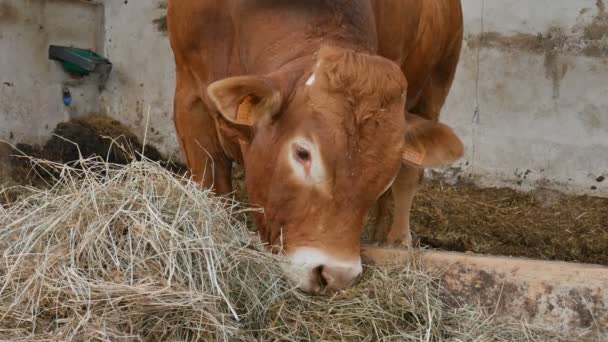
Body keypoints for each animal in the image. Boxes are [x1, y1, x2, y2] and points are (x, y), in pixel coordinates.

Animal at [169, 0, 464, 294]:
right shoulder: (189, 95)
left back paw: (397, 242)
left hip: (436, 84)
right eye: (302, 153)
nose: (337, 275)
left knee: (408, 179)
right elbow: (208, 182)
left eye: (384, 176)